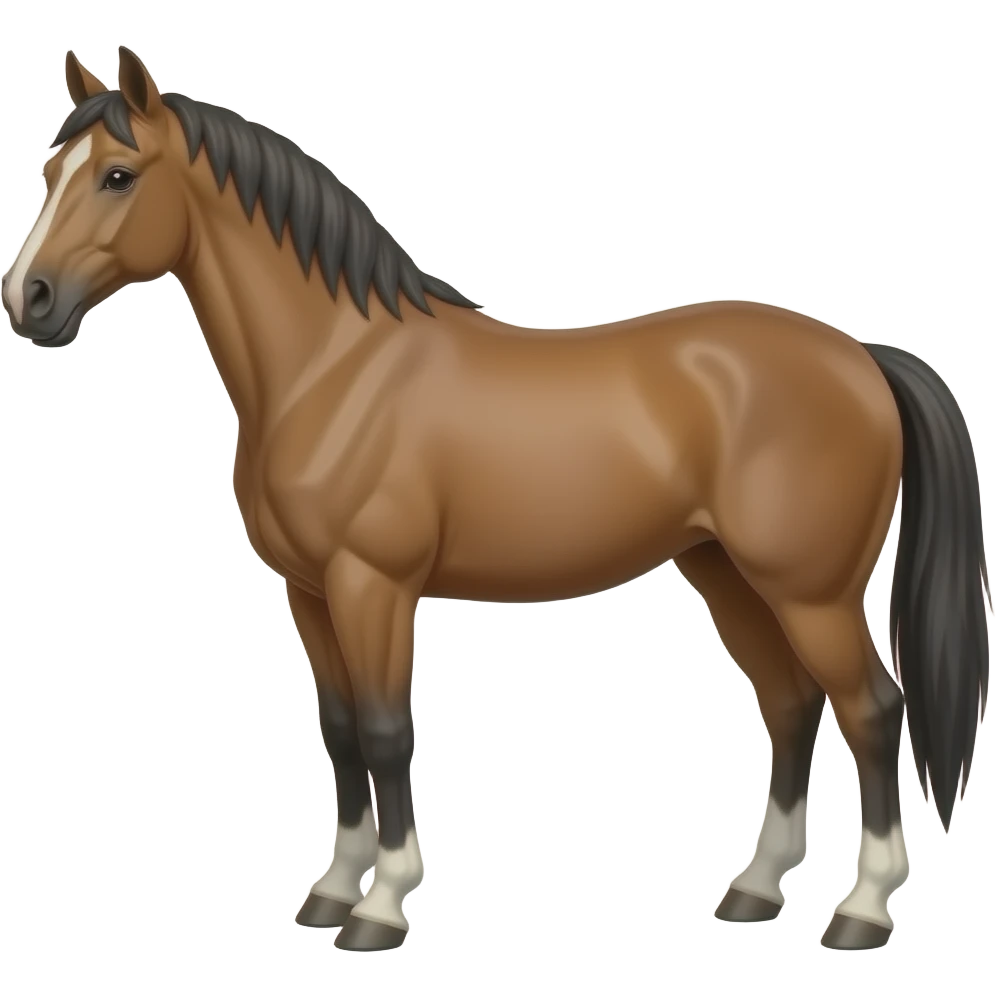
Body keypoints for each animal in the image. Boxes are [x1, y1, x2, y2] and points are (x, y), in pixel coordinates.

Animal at [2, 46, 990, 953]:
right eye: (49, 175)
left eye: (120, 176)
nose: (29, 299)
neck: (334, 367)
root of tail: (862, 357)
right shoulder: (310, 591)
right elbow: (340, 731)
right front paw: (331, 891)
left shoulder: (372, 585)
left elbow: (386, 729)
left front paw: (382, 906)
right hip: (727, 574)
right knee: (790, 705)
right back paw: (754, 890)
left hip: (810, 592)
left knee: (873, 711)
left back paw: (862, 910)